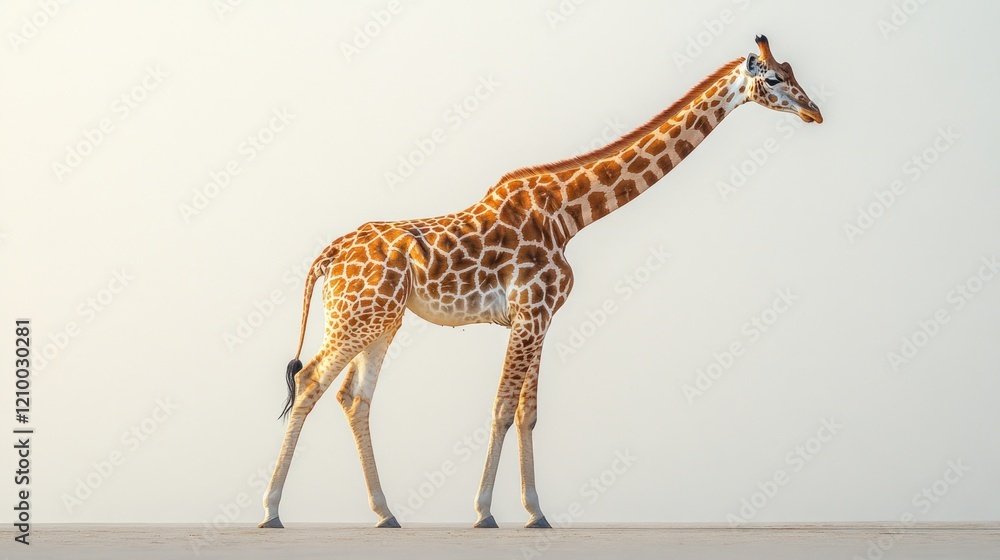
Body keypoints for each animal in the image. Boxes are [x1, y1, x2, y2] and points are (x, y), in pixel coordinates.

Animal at [258, 35, 822, 529]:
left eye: (793, 71)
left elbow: (527, 414)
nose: (814, 112)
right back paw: (271, 511)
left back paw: (385, 513)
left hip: (381, 320)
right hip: (358, 316)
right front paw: (485, 512)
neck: (570, 215)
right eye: (774, 78)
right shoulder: (530, 312)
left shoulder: (542, 317)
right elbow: (503, 406)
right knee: (310, 381)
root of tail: (328, 255)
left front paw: (535, 513)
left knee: (353, 398)